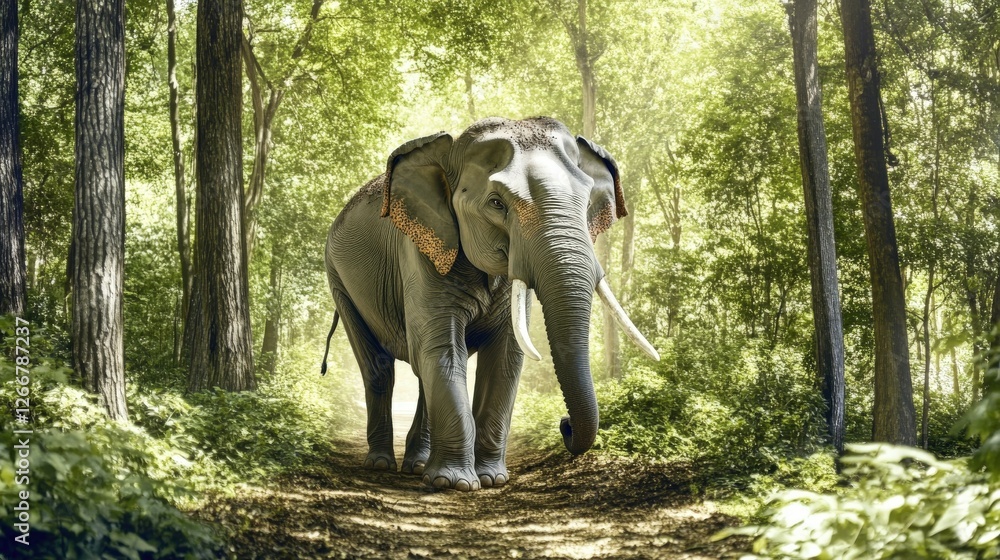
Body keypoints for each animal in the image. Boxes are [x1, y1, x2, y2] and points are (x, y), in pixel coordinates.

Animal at [321, 116, 659, 492]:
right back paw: (381, 464)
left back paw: (416, 465)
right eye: (497, 204)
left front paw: (492, 479)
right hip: (338, 278)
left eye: (587, 202)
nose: (565, 425)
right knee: (380, 368)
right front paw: (454, 484)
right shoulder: (421, 252)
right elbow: (444, 349)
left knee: (421, 370)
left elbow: (506, 356)